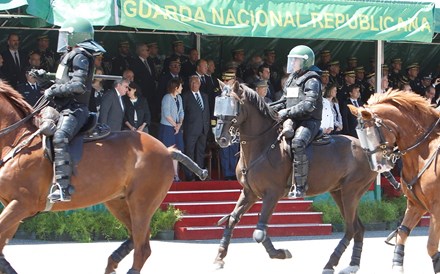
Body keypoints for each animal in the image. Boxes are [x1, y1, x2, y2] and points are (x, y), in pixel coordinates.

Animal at [0, 81, 206, 274]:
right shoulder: (12, 205)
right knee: (137, 237)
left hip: (142, 203)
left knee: (142, 248)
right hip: (118, 202)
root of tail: (166, 150)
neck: (16, 141)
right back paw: (112, 261)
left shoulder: (22, 204)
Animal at [213, 81, 378, 274]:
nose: (220, 138)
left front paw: (280, 253)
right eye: (219, 104)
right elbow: (232, 219)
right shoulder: (249, 193)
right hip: (339, 193)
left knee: (351, 229)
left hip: (351, 192)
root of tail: (369, 150)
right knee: (358, 228)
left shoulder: (272, 194)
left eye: (233, 106)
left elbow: (259, 232)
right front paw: (219, 257)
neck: (261, 146)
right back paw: (352, 265)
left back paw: (330, 264)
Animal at [350, 89, 440, 272]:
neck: (423, 151)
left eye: (370, 133)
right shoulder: (416, 205)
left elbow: (431, 246)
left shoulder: (436, 208)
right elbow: (402, 232)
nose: (378, 167)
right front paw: (397, 265)